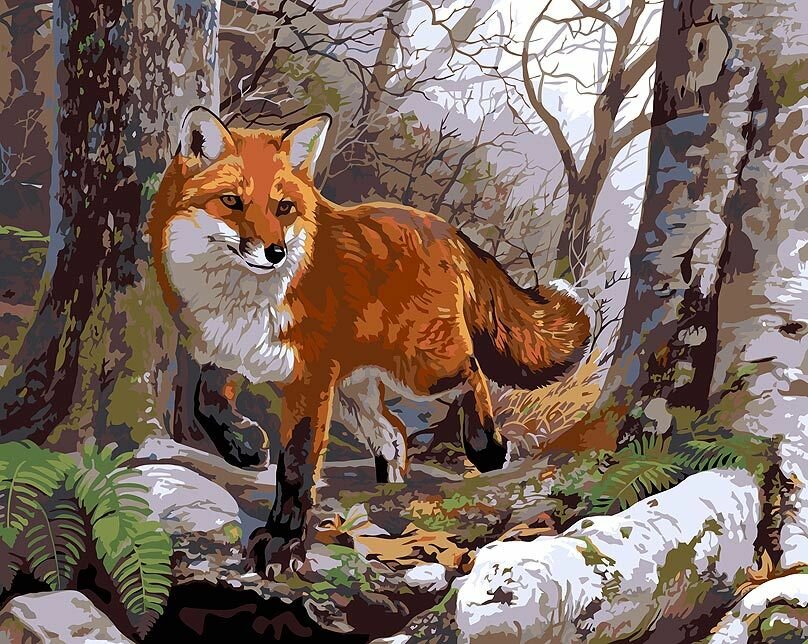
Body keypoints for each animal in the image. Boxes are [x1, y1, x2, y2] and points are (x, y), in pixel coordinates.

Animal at [150, 106, 591, 574]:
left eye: (283, 208)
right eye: (232, 201)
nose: (275, 253)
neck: (240, 300)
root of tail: (446, 229)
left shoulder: (310, 381)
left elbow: (296, 466)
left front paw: (283, 540)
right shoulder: (230, 353)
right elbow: (207, 402)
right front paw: (246, 448)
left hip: (420, 370)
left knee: (472, 374)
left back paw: (487, 447)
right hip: (355, 393)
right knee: (393, 435)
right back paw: (388, 491)